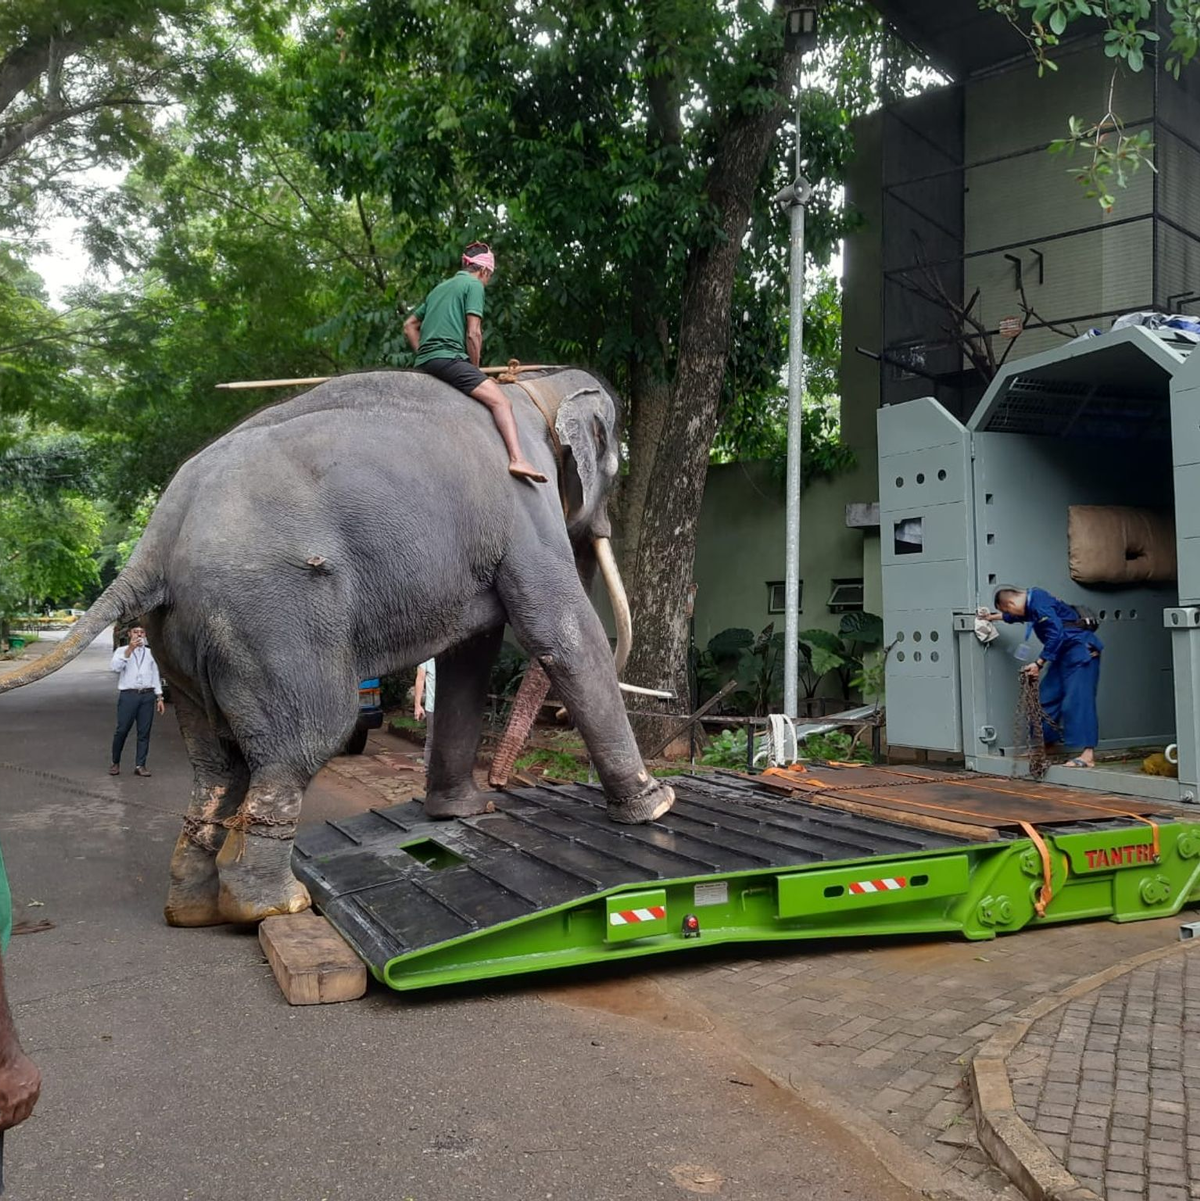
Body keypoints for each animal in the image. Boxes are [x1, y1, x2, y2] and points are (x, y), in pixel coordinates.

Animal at [0, 368, 675, 926]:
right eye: (614, 466)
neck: (533, 385)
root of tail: (154, 542)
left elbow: (471, 653)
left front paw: (461, 815)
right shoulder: (526, 500)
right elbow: (558, 628)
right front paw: (657, 806)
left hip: (179, 639)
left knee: (217, 764)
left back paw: (192, 909)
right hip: (273, 613)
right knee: (309, 734)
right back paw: (272, 906)